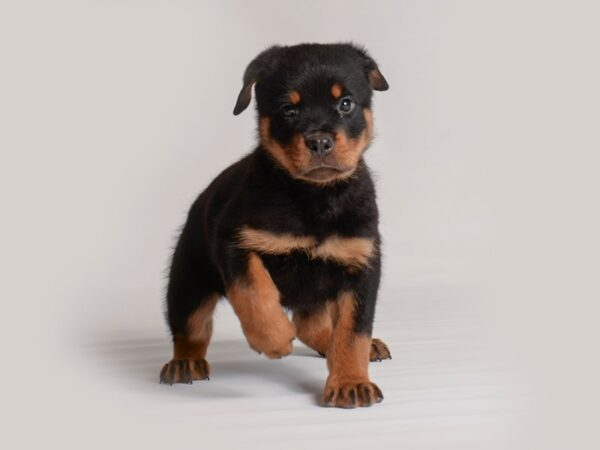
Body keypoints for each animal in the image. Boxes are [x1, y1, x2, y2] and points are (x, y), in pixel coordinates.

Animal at [162, 42, 392, 408]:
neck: (314, 197)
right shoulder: (234, 241)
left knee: (311, 323)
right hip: (188, 281)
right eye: (288, 109)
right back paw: (184, 363)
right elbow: (254, 291)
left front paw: (350, 382)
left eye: (346, 103)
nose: (320, 141)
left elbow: (353, 330)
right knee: (191, 327)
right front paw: (274, 339)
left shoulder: (362, 263)